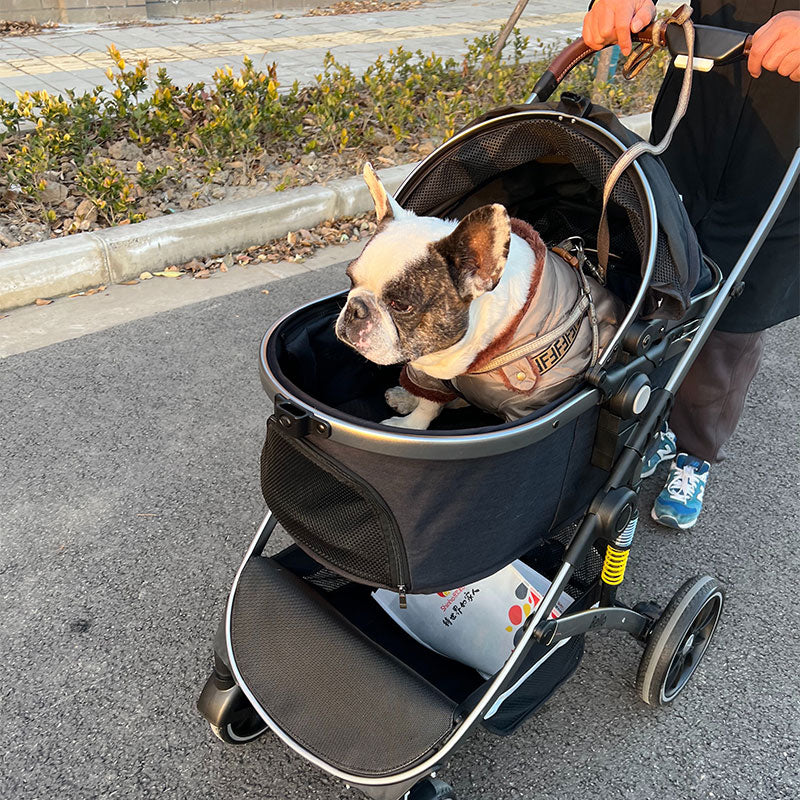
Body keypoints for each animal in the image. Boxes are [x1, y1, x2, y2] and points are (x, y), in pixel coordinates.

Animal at [334, 164, 620, 432]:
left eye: (400, 305)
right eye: (350, 278)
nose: (355, 309)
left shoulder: (528, 407)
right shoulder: (431, 374)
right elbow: (429, 404)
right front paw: (412, 421)